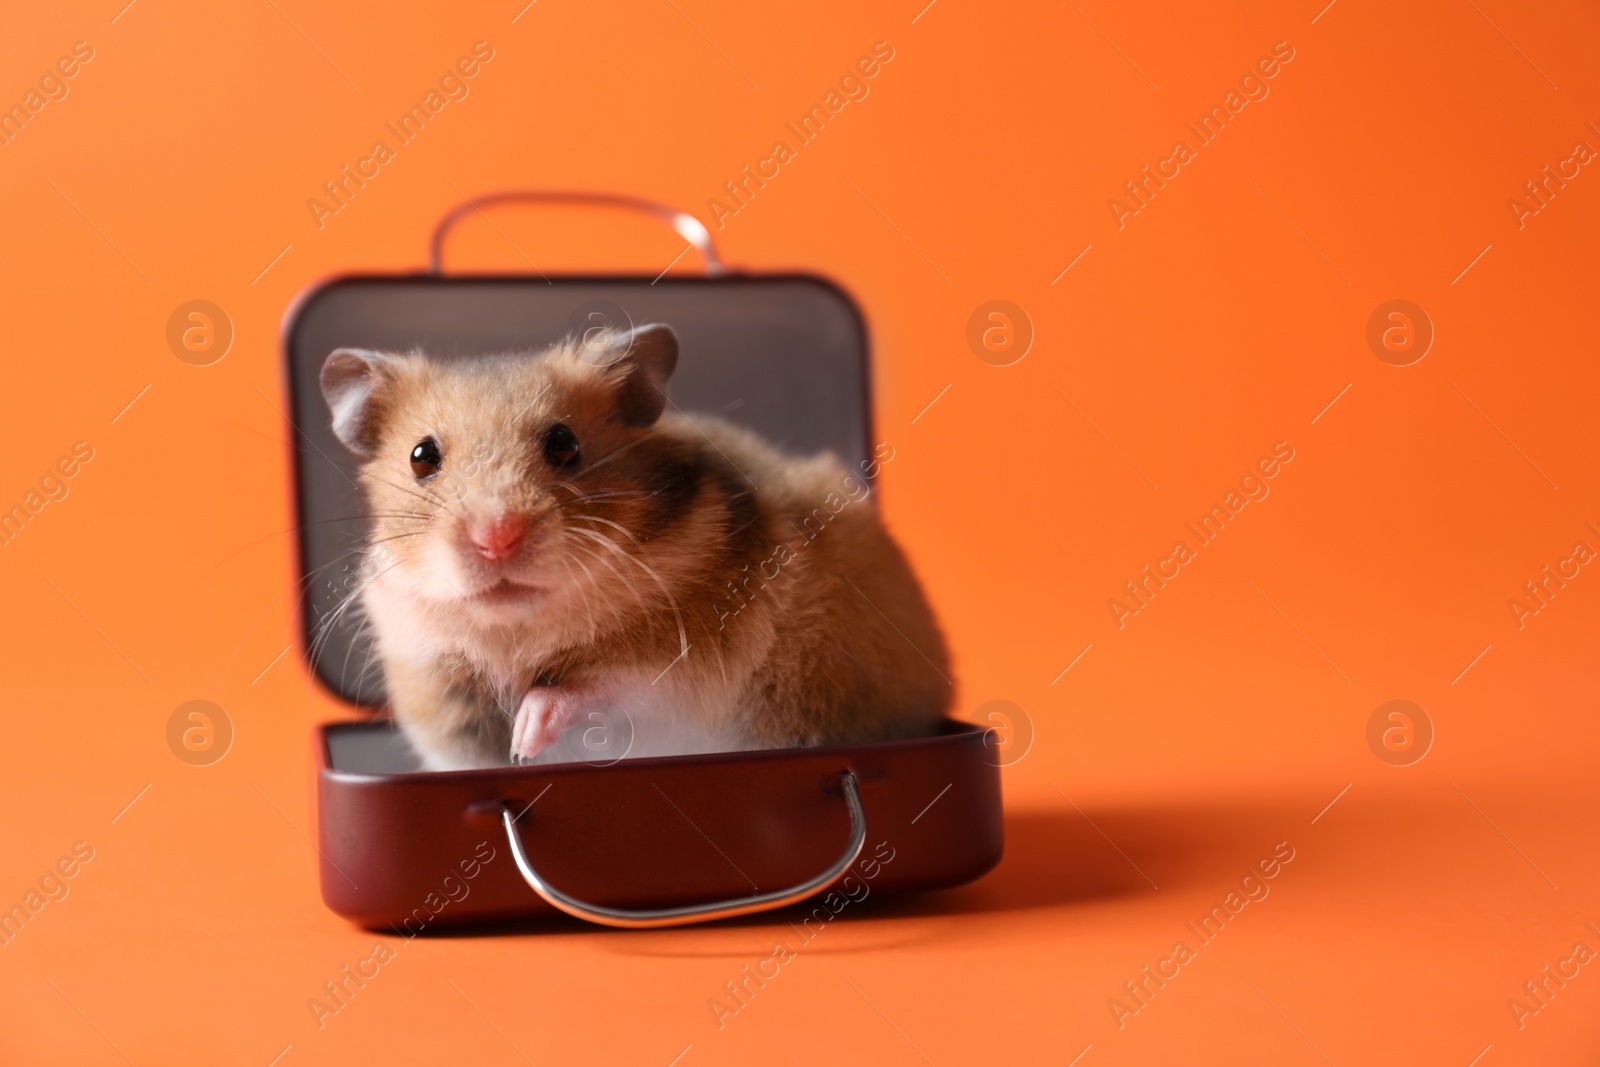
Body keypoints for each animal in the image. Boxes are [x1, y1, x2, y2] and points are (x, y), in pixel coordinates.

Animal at [320, 321, 953, 771]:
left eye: (564, 444)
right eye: (421, 456)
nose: (495, 539)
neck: (516, 629)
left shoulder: (685, 659)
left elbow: (594, 684)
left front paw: (527, 736)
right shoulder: (440, 699)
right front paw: (521, 754)